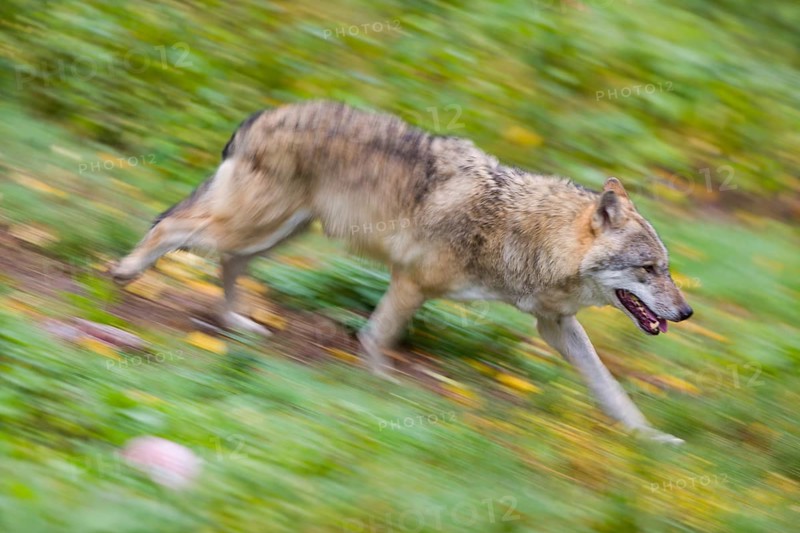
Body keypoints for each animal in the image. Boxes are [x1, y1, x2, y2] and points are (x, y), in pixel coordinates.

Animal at [111, 101, 693, 443]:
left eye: (666, 270)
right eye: (648, 269)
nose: (686, 312)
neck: (525, 231)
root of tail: (261, 115)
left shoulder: (554, 324)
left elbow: (608, 386)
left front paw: (648, 437)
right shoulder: (412, 283)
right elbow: (376, 337)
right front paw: (379, 390)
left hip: (277, 236)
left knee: (224, 265)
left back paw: (236, 323)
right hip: (253, 228)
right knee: (171, 226)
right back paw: (126, 271)